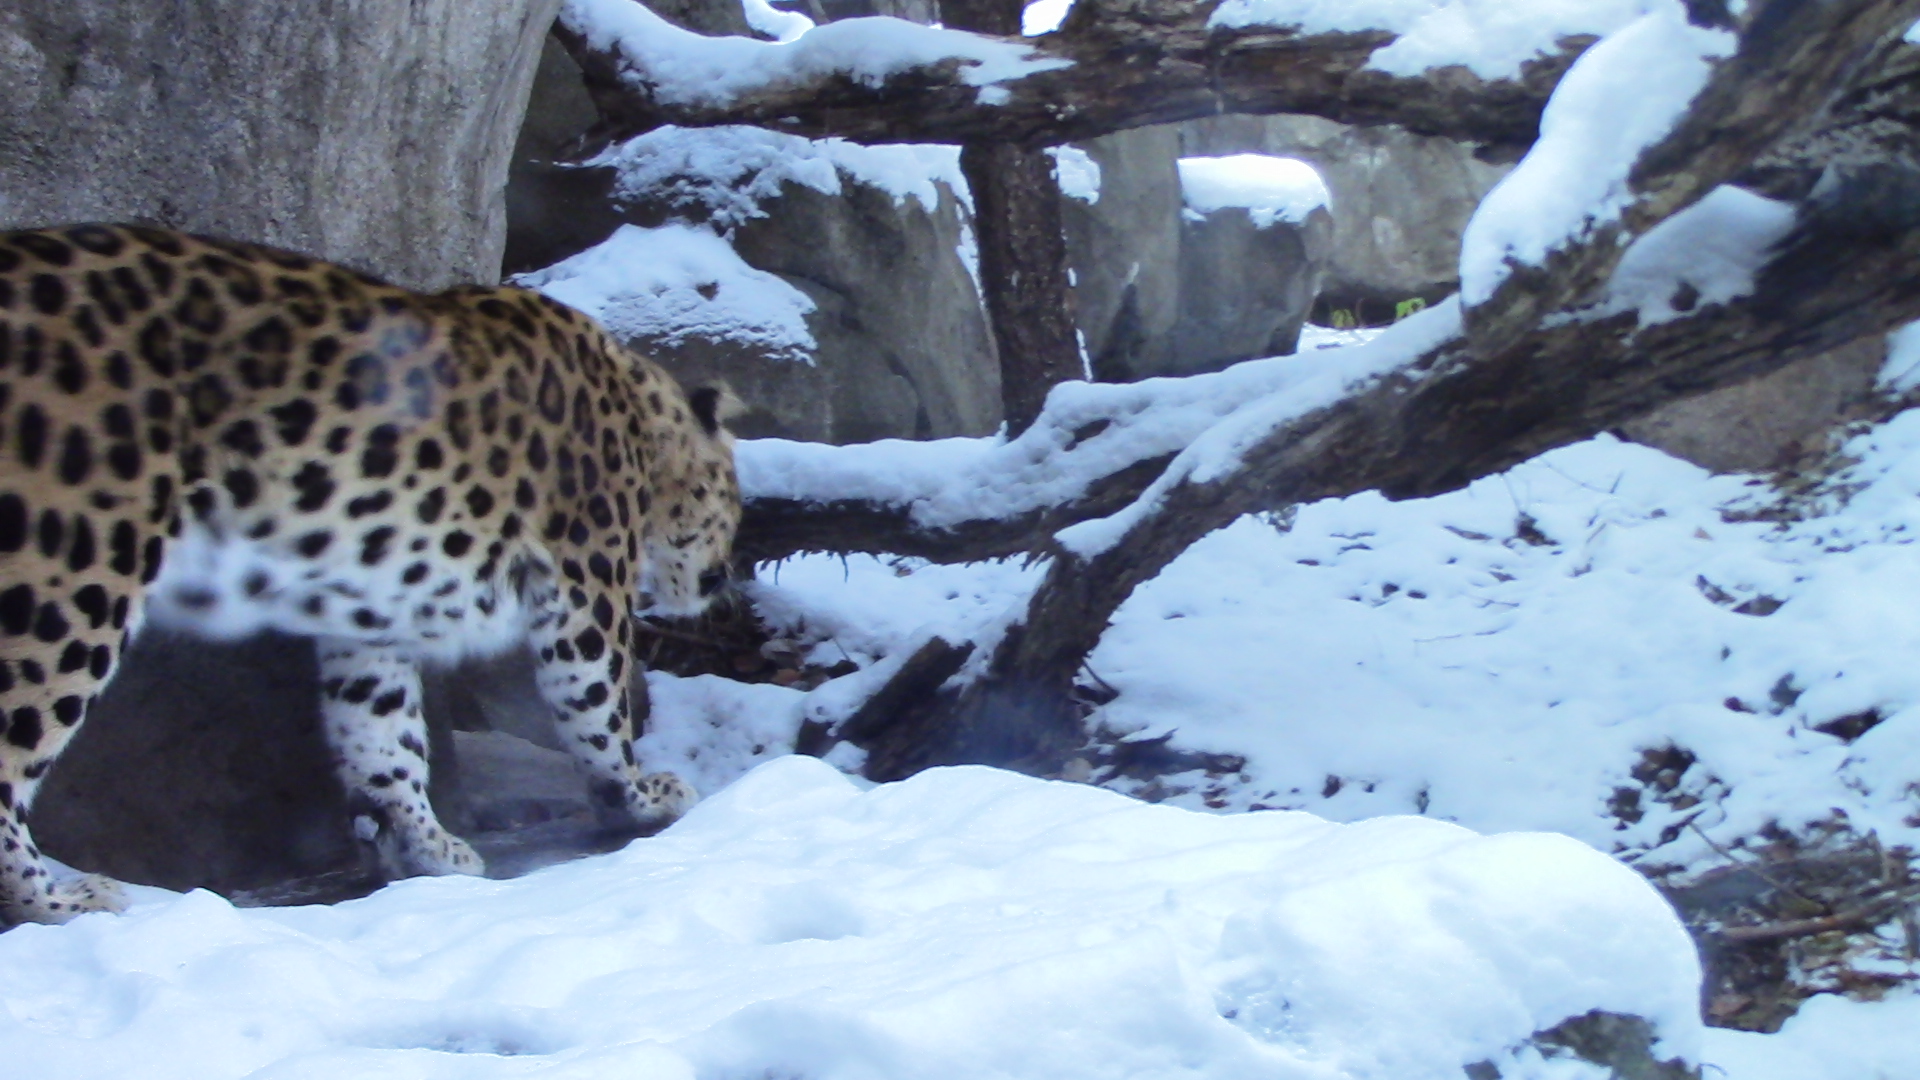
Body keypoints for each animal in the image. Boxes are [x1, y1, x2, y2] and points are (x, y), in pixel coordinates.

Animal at [0, 223, 742, 927]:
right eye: (734, 502)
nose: (718, 580)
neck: (645, 421)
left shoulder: (369, 611)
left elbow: (380, 729)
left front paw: (426, 849)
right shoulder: (586, 583)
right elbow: (598, 704)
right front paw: (642, 797)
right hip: (74, 573)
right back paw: (62, 902)